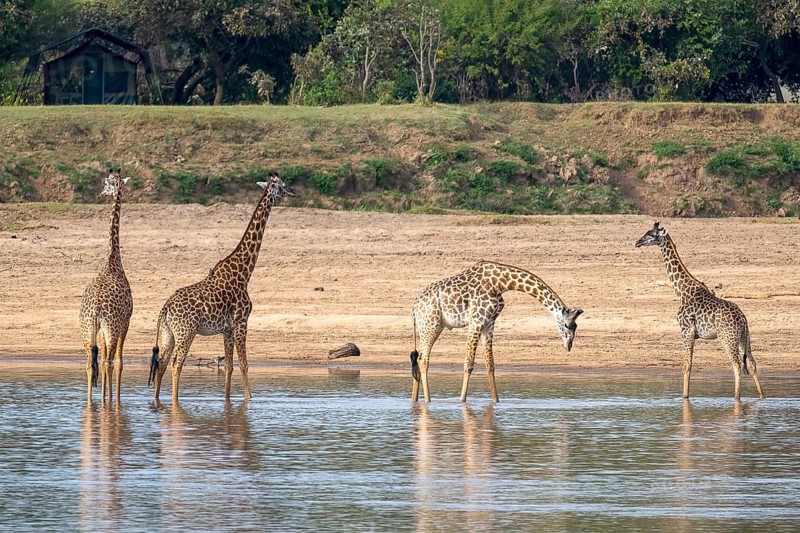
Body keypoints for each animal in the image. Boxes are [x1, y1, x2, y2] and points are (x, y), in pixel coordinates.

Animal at [149, 174, 295, 402]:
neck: (244, 272)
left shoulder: (227, 329)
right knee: (176, 363)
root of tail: (165, 309)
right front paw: (249, 399)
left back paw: (157, 401)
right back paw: (175, 402)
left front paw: (228, 401)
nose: (293, 192)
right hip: (186, 332)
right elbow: (244, 364)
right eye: (282, 185)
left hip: (167, 334)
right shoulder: (241, 322)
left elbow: (229, 367)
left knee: (162, 363)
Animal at [410, 261, 583, 403]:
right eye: (568, 325)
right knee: (423, 360)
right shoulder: (476, 321)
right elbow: (469, 364)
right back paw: (428, 401)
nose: (569, 345)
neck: (500, 283)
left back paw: (415, 400)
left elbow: (490, 364)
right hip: (431, 325)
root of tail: (414, 306)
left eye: (575, 326)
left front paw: (496, 402)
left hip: (432, 327)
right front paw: (462, 402)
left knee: (418, 359)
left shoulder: (489, 323)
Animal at [635, 221, 765, 400]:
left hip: (728, 338)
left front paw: (685, 397)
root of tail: (743, 319)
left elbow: (687, 365)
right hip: (745, 338)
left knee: (737, 365)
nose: (638, 242)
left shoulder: (686, 330)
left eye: (652, 235)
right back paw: (761, 397)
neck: (682, 291)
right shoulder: (692, 334)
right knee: (752, 363)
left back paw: (737, 397)